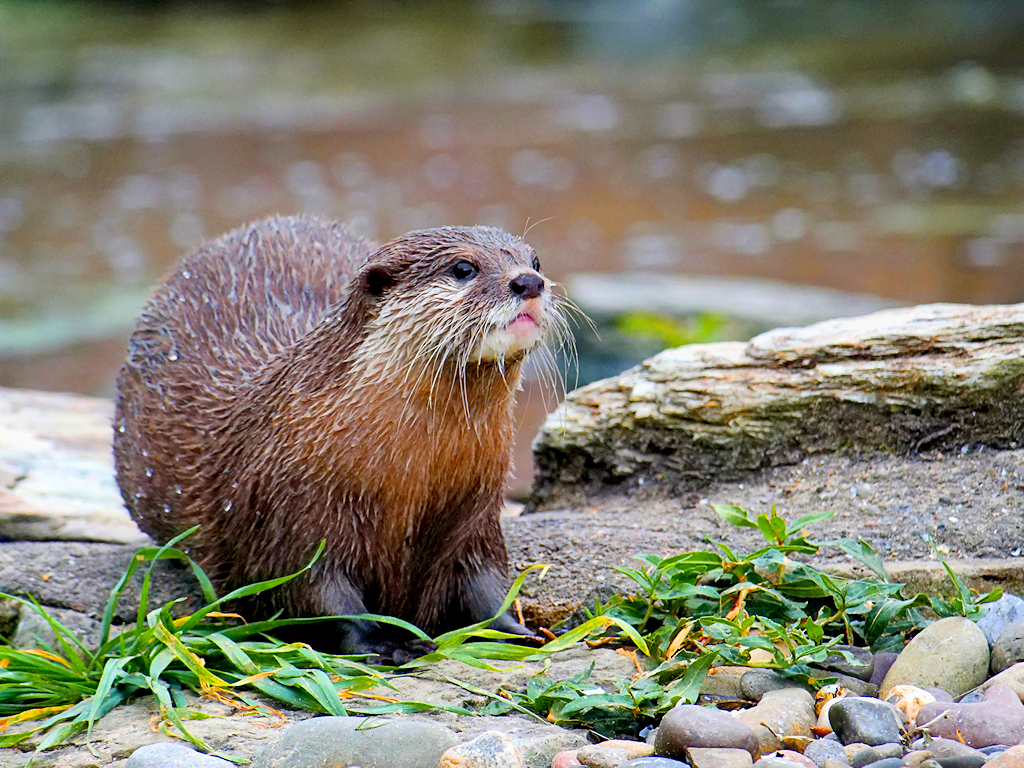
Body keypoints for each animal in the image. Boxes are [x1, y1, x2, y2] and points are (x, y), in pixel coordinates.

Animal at [116, 214, 573, 659]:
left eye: (534, 261)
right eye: (463, 268)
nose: (528, 282)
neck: (410, 479)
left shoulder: (475, 512)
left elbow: (485, 588)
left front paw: (524, 632)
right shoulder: (286, 512)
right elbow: (314, 594)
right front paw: (385, 643)